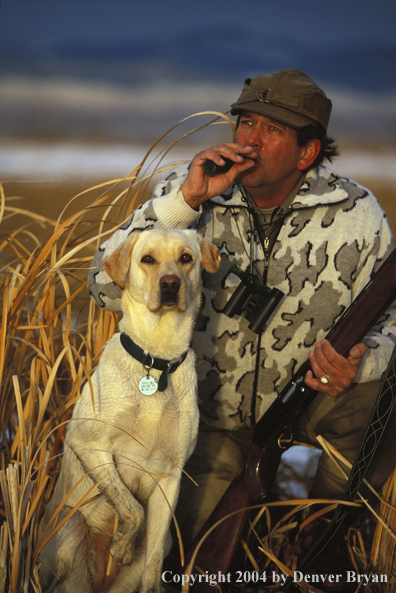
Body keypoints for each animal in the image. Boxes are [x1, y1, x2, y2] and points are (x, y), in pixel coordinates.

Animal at [39, 229, 220, 588]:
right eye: (147, 259)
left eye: (186, 258)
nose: (170, 284)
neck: (157, 361)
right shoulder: (88, 443)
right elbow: (131, 505)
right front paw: (121, 546)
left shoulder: (171, 476)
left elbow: (152, 566)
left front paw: (124, 550)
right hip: (71, 531)